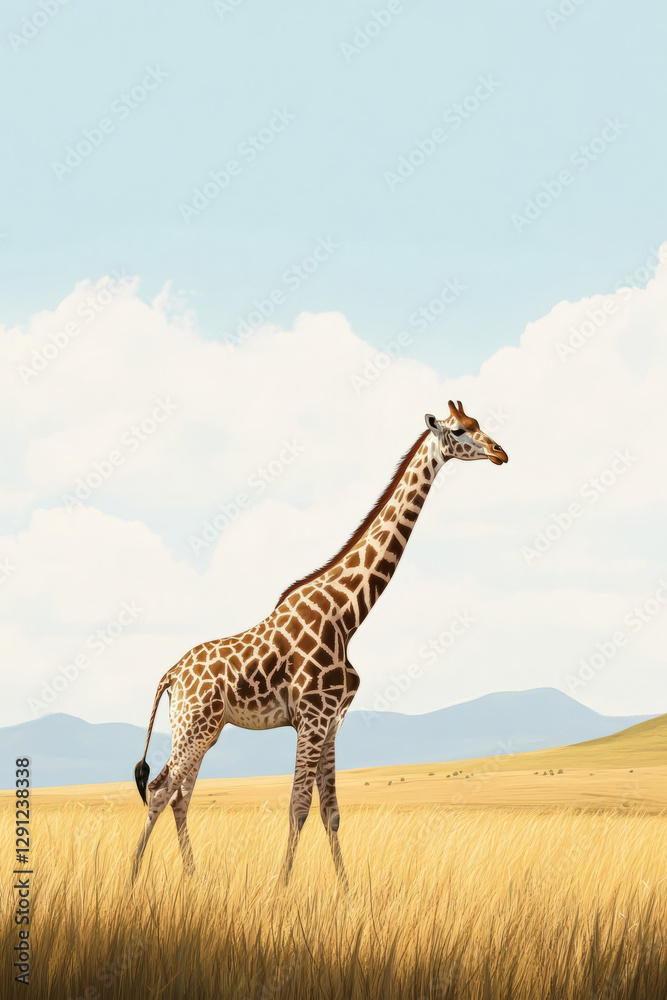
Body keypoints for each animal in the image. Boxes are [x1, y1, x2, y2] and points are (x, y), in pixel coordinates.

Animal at [132, 400, 508, 886]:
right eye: (461, 430)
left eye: (479, 424)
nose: (500, 453)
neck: (348, 614)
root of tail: (171, 675)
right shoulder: (311, 717)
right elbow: (298, 806)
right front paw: (281, 889)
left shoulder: (332, 721)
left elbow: (331, 811)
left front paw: (345, 890)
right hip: (192, 725)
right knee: (162, 790)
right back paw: (133, 879)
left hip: (206, 729)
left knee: (180, 793)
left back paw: (193, 879)